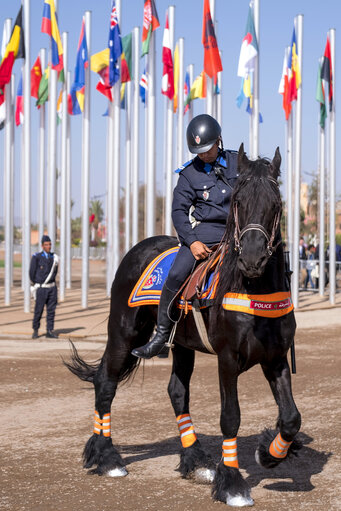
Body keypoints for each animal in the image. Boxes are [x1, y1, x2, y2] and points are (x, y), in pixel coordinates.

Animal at [65, 146, 300, 510]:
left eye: (276, 203)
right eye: (237, 200)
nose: (252, 258)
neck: (252, 289)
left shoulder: (275, 358)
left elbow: (290, 418)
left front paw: (268, 454)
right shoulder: (227, 359)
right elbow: (230, 417)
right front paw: (232, 484)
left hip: (183, 345)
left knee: (177, 392)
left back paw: (194, 461)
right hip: (124, 333)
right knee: (106, 383)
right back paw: (107, 458)